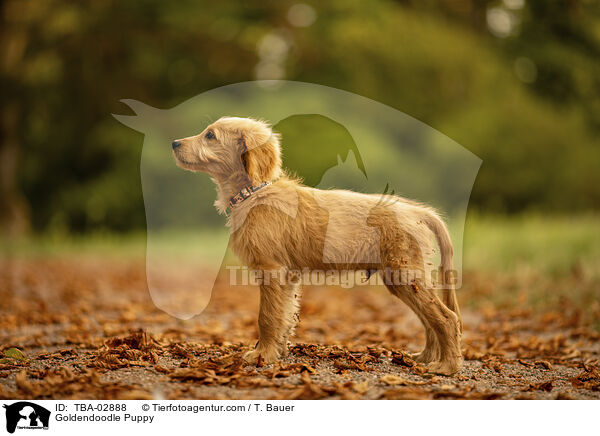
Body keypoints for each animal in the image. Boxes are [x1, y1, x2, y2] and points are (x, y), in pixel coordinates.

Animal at [173, 116, 464, 374]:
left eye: (210, 136)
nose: (174, 143)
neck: (255, 192)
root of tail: (416, 212)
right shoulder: (288, 276)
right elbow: (284, 316)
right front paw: (276, 352)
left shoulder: (272, 270)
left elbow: (267, 317)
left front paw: (261, 356)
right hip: (401, 279)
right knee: (430, 320)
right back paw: (426, 357)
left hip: (405, 273)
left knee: (446, 317)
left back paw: (446, 367)